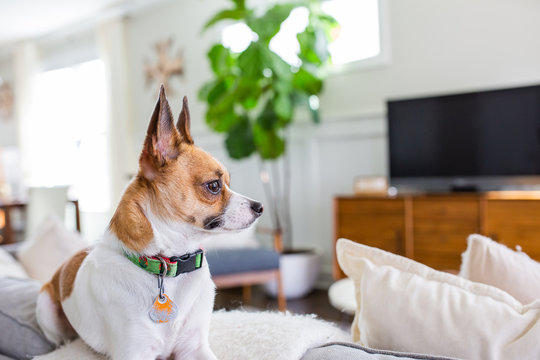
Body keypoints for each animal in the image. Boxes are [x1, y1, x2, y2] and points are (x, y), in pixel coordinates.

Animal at [34, 86, 262, 358]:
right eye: (214, 186)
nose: (260, 207)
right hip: (44, 306)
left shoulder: (196, 347)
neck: (169, 266)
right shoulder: (135, 352)